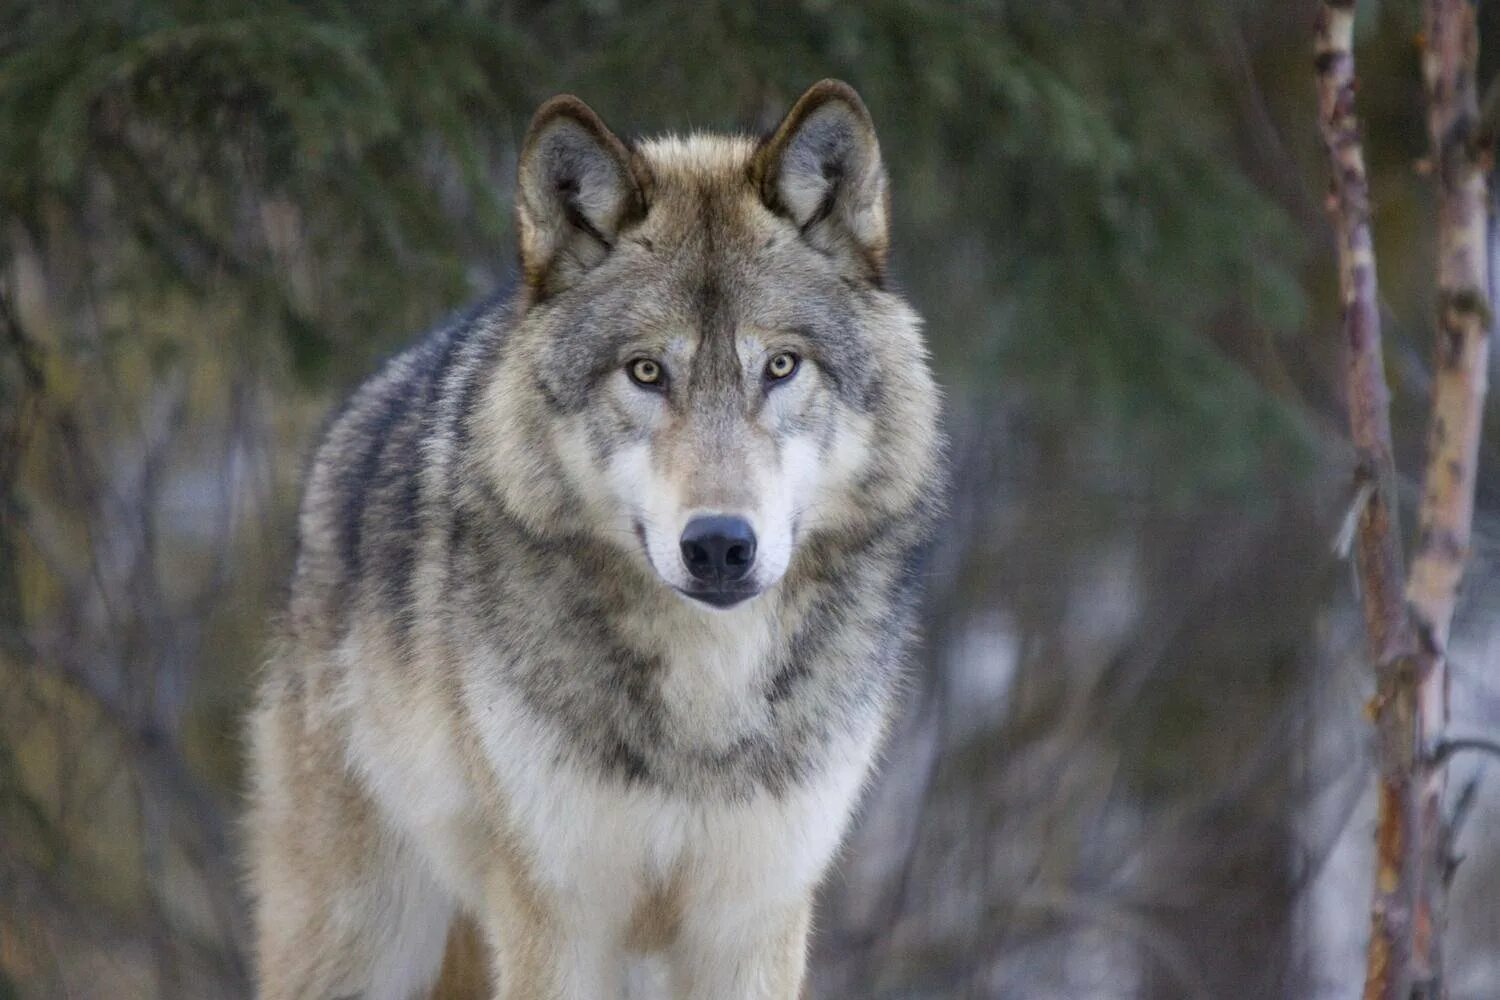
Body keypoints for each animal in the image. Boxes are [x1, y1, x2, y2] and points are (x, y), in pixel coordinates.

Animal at [247, 80, 942, 1000]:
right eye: (646, 372)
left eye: (781, 367)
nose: (719, 545)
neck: (706, 695)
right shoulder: (557, 918)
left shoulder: (751, 922)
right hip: (362, 940)